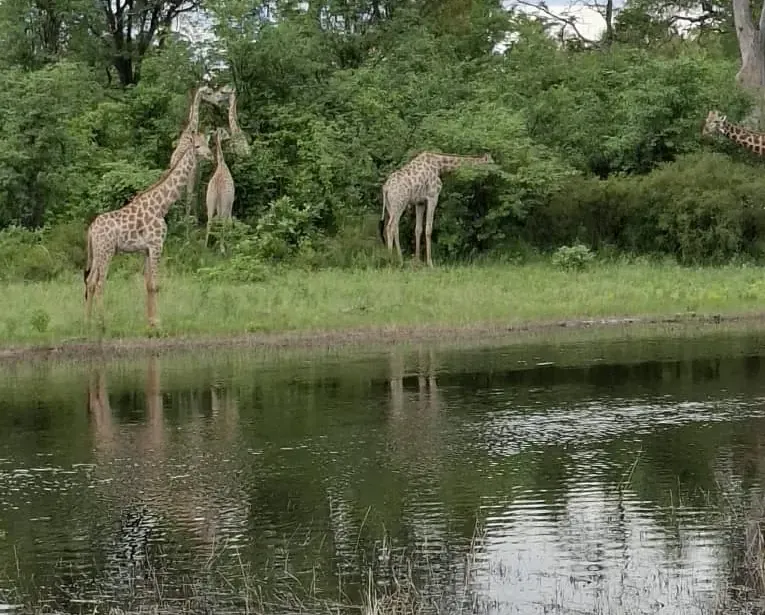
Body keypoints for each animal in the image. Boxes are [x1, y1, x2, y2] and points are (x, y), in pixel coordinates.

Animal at [84, 131, 213, 331]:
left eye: (208, 144)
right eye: (197, 146)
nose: (210, 155)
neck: (162, 206)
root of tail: (91, 229)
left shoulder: (146, 249)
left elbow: (147, 284)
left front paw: (150, 322)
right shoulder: (156, 244)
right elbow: (155, 285)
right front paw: (158, 323)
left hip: (97, 252)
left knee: (90, 282)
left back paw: (88, 321)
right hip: (106, 252)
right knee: (99, 283)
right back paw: (103, 323)